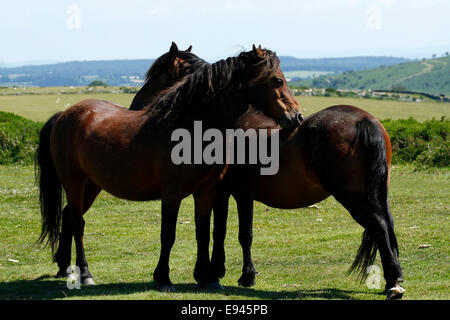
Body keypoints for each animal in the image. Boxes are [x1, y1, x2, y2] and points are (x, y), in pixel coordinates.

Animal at [35, 45, 302, 292]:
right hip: (73, 181)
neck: (191, 128)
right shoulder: (172, 195)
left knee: (69, 216)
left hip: (91, 185)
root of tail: (65, 114)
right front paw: (163, 278)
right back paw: (85, 273)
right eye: (278, 79)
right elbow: (168, 235)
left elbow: (203, 232)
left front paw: (208, 277)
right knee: (77, 223)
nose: (297, 116)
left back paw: (66, 267)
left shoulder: (207, 192)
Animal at [210, 104, 404, 298]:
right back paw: (392, 281)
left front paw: (219, 272)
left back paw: (394, 283)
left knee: (380, 226)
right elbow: (245, 235)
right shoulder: (243, 195)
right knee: (388, 225)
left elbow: (222, 233)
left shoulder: (225, 193)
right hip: (378, 194)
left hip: (354, 200)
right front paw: (247, 276)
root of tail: (363, 120)